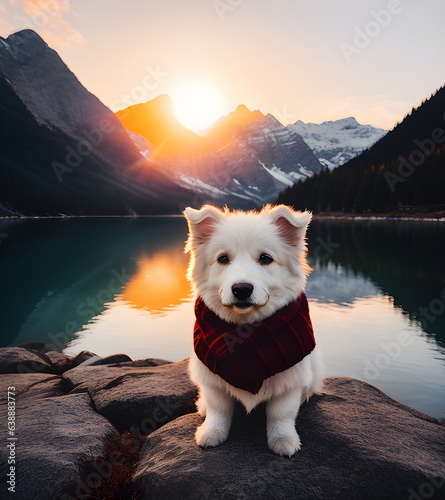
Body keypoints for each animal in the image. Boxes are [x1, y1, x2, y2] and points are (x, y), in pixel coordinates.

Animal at [182, 203, 320, 458]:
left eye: (265, 258)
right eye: (223, 258)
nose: (242, 289)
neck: (246, 333)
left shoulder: (290, 379)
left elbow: (281, 413)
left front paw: (283, 440)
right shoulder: (211, 378)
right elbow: (218, 409)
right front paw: (212, 432)